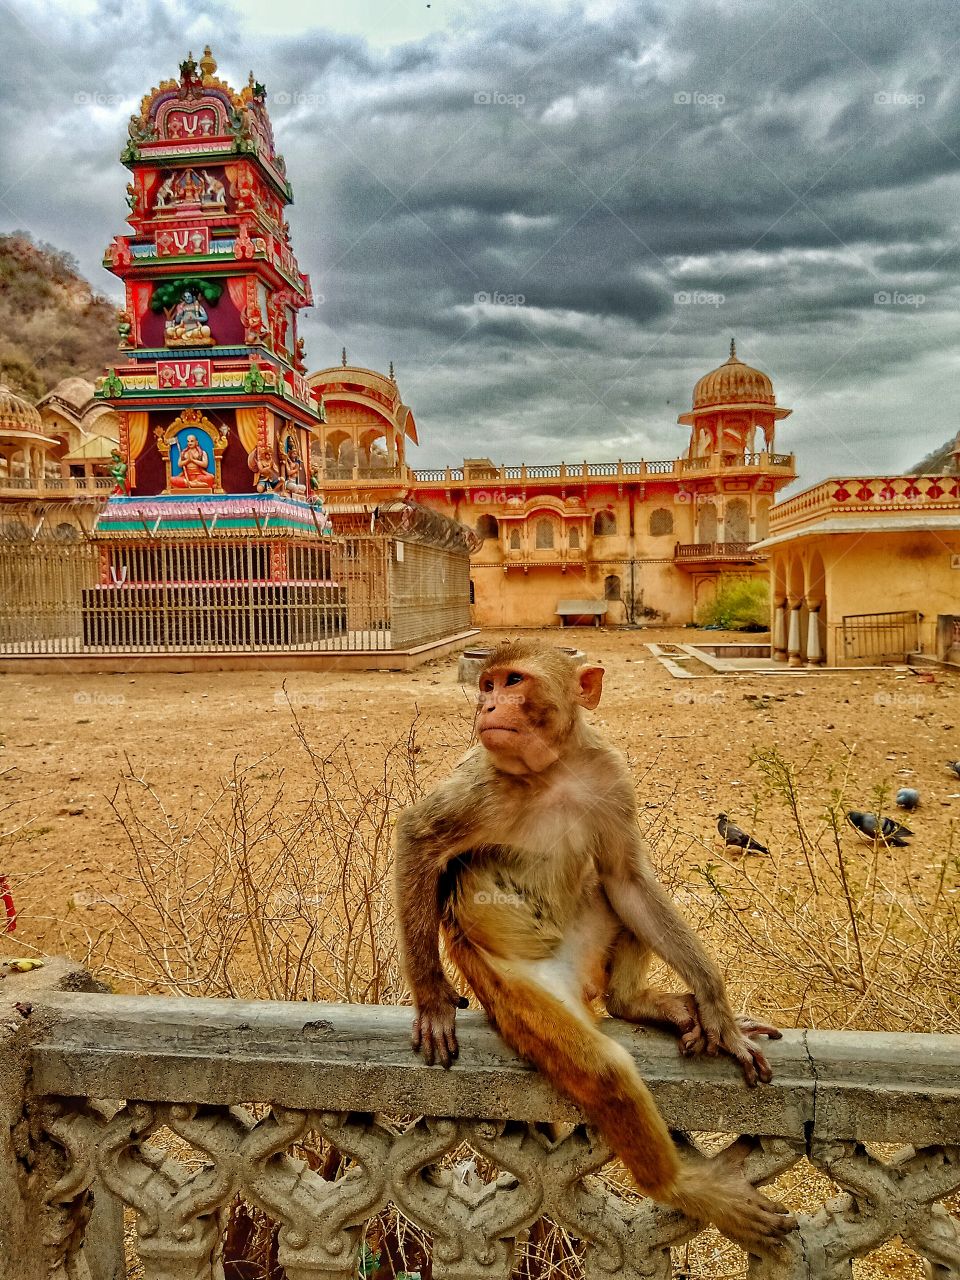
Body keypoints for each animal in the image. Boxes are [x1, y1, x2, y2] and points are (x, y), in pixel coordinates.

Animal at [394, 638, 796, 1249]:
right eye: (486, 684)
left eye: (513, 681)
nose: (488, 708)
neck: (553, 770)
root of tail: (576, 984)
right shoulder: (481, 781)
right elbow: (418, 837)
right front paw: (433, 1000)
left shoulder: (608, 774)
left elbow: (627, 879)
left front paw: (717, 1010)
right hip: (518, 996)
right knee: (605, 1072)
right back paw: (682, 1188)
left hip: (589, 951)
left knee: (613, 892)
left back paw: (635, 1003)